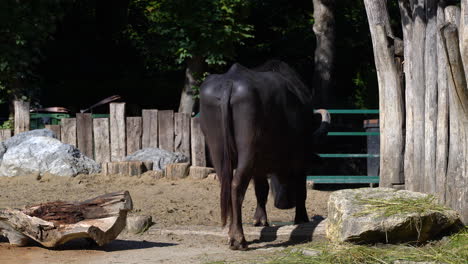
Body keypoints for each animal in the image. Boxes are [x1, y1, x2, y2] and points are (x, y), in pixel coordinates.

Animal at [198, 59, 330, 250]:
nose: (284, 203)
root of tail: (229, 81)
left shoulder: (259, 167)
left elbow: (262, 190)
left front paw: (260, 220)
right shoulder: (300, 159)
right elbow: (301, 189)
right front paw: (301, 218)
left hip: (217, 149)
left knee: (226, 184)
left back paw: (231, 233)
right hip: (247, 147)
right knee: (237, 185)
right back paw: (238, 239)